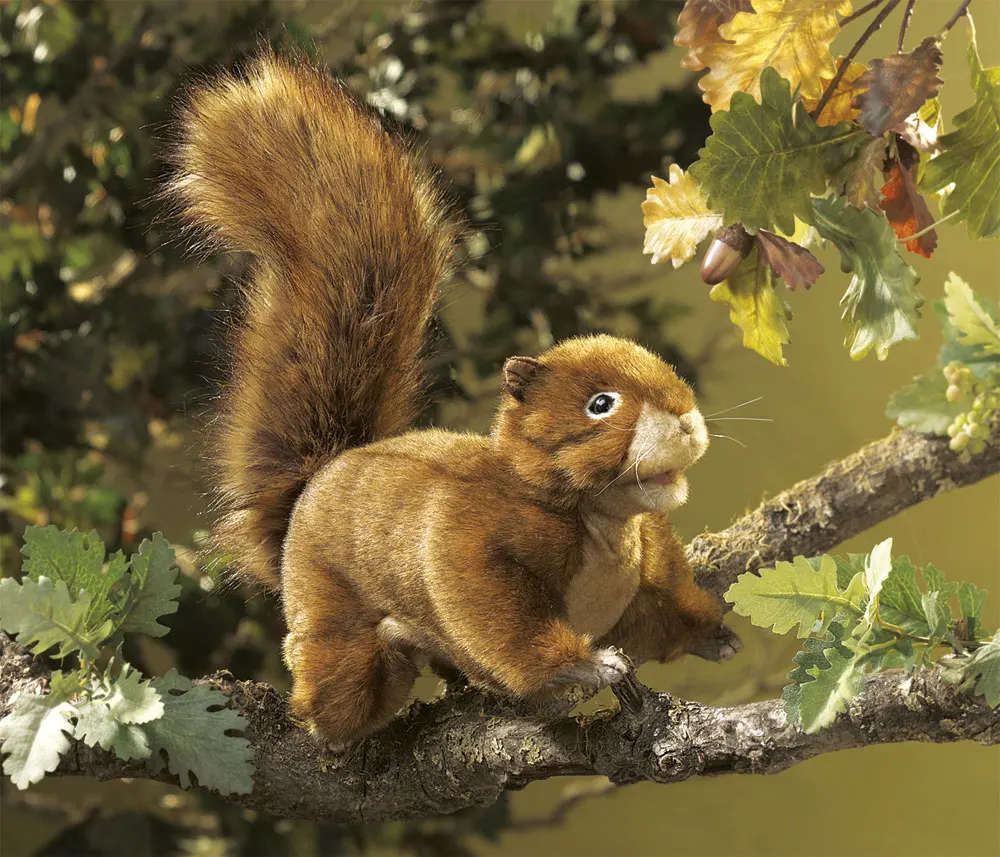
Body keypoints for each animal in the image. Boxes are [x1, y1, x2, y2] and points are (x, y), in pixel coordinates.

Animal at [168, 52, 741, 746]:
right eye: (599, 404)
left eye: (665, 366)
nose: (685, 420)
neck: (605, 524)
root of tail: (315, 480)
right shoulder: (474, 537)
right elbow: (496, 618)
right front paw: (582, 667)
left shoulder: (650, 568)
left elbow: (663, 616)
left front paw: (714, 635)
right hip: (327, 609)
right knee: (334, 697)